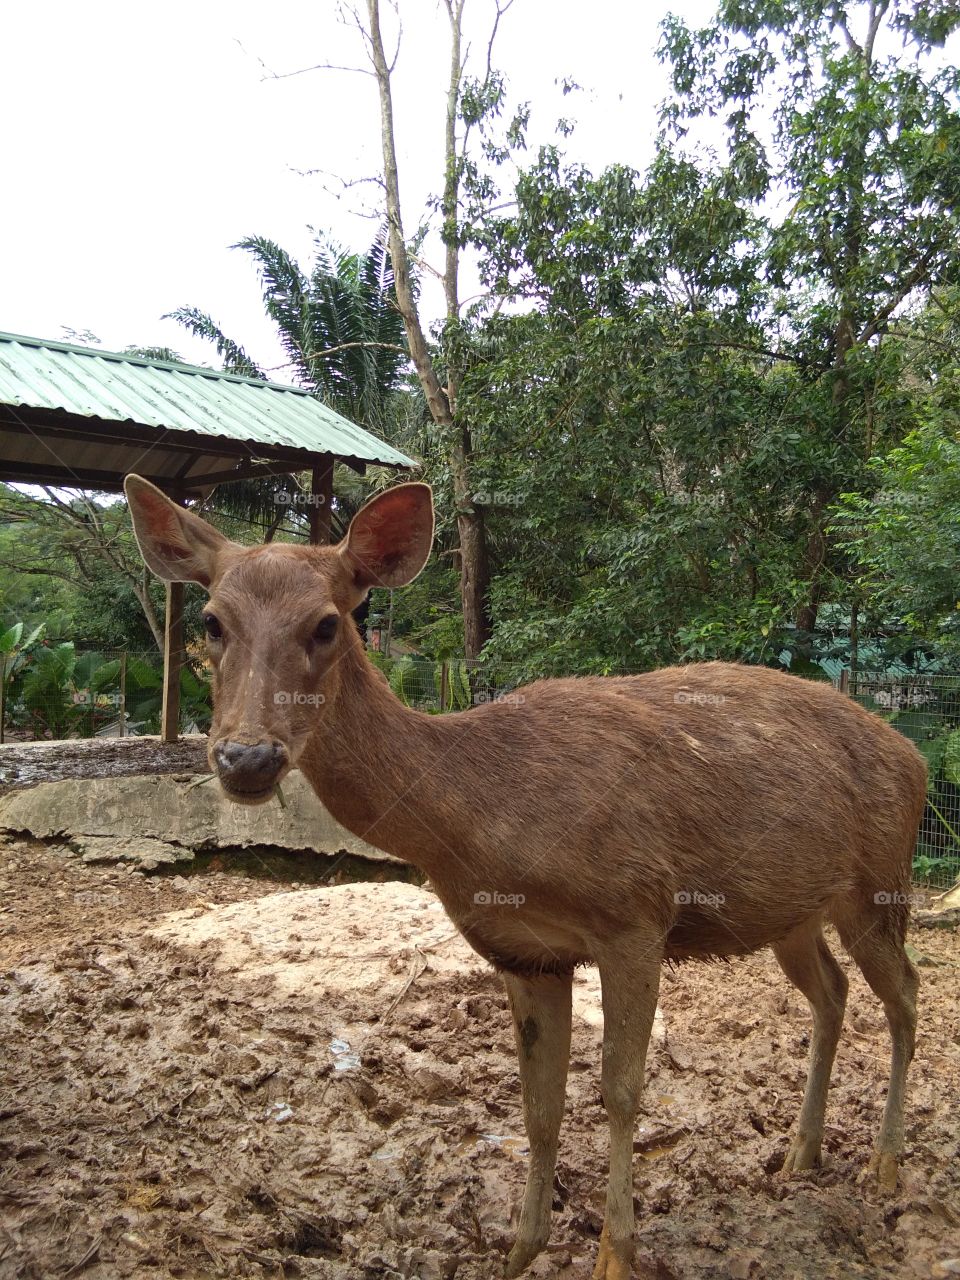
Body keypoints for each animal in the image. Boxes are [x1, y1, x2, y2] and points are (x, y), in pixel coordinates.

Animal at [125, 474, 925, 1280]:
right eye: (212, 621)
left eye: (326, 624)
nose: (246, 758)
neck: (484, 821)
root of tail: (914, 754)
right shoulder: (520, 951)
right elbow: (538, 1106)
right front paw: (518, 1250)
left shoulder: (637, 913)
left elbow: (621, 1093)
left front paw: (616, 1254)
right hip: (793, 910)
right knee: (832, 993)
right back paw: (801, 1153)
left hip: (882, 876)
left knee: (906, 993)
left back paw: (887, 1166)